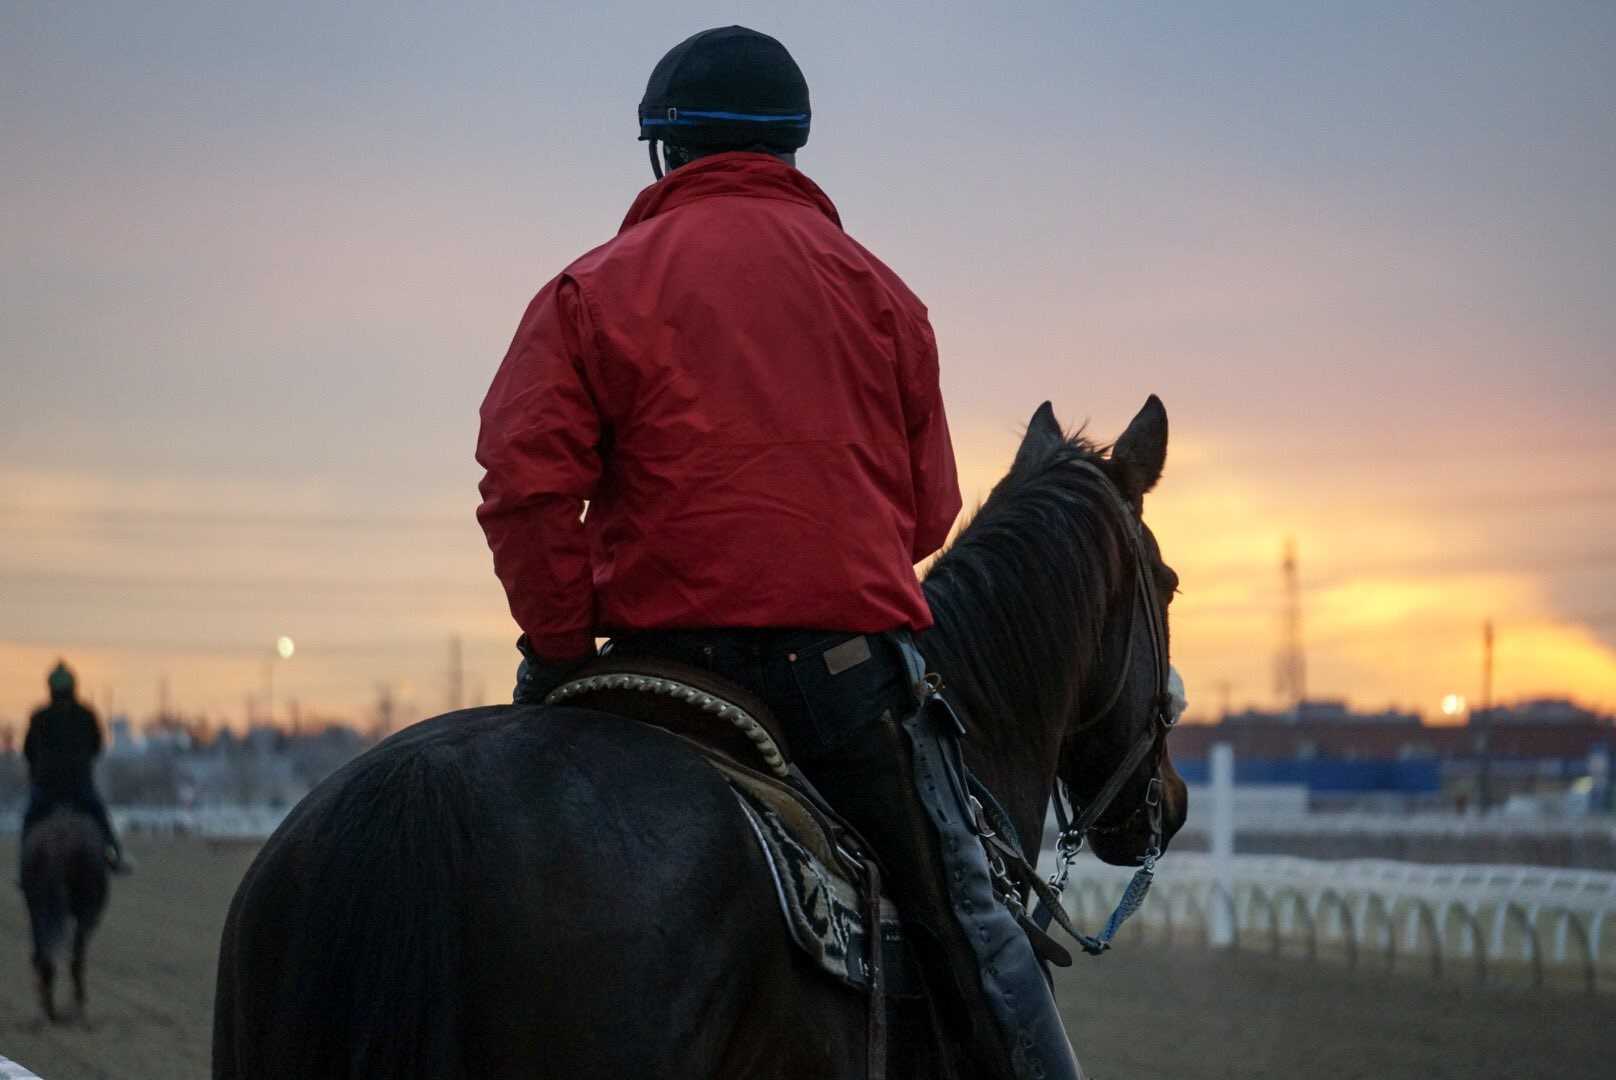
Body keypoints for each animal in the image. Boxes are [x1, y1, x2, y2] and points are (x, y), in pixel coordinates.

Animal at [20, 808, 109, 1021]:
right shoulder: (88, 914)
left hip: (38, 908)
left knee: (44, 952)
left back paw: (50, 1006)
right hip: (84, 910)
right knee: (75, 956)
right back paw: (75, 1004)